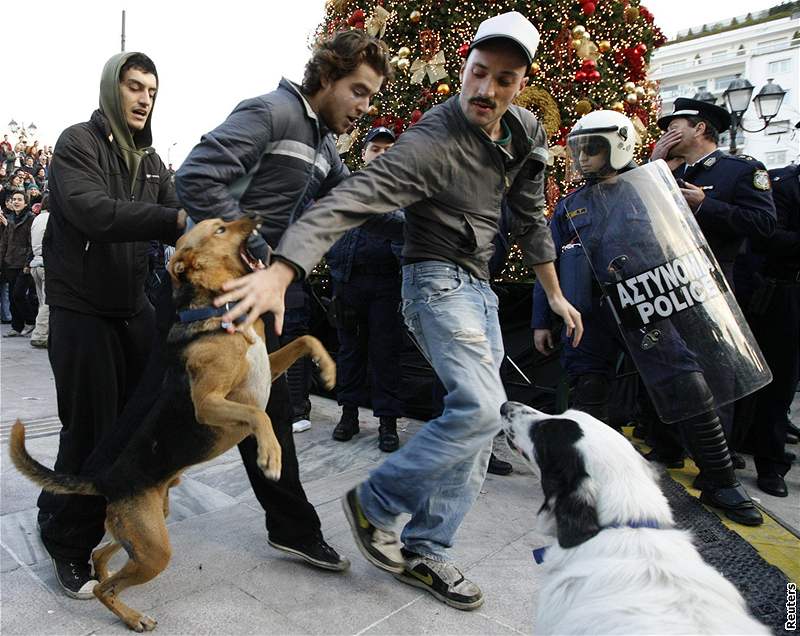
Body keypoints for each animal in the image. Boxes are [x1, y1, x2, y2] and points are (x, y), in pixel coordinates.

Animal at [10, 219, 334, 632]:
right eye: (220, 229)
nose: (256, 217)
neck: (219, 309)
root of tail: (107, 481)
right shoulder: (207, 403)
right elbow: (259, 416)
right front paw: (271, 456)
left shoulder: (268, 370)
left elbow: (307, 338)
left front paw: (329, 369)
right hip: (155, 549)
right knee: (103, 588)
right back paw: (133, 618)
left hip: (150, 528)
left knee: (102, 559)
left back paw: (108, 581)